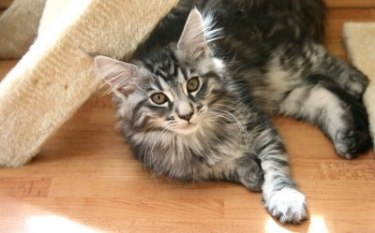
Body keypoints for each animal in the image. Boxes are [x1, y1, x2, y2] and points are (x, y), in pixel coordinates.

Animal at [93, 0, 370, 226]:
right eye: (159, 98)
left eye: (193, 84)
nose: (186, 114)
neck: (199, 138)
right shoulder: (183, 166)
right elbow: (220, 167)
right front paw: (250, 171)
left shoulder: (257, 122)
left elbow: (276, 163)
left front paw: (284, 197)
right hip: (278, 89)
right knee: (319, 94)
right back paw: (345, 136)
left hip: (280, 60)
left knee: (318, 57)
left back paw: (356, 80)